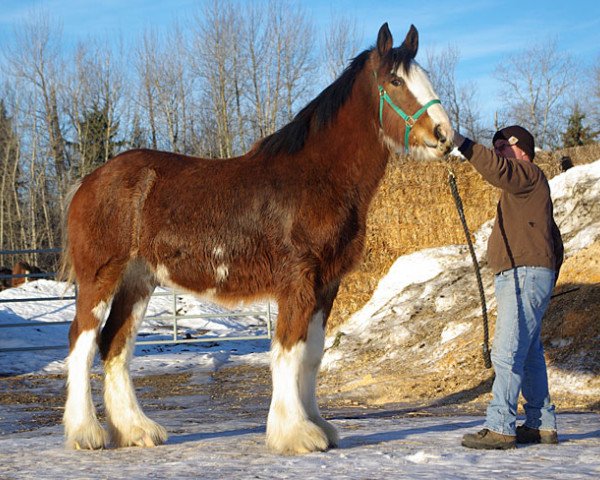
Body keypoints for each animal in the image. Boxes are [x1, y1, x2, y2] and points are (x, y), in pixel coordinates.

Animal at [61, 23, 452, 454]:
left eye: (424, 77)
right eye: (396, 81)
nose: (444, 135)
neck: (316, 178)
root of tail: (88, 182)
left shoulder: (326, 284)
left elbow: (312, 354)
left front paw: (318, 425)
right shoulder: (298, 281)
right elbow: (288, 350)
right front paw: (295, 433)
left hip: (138, 281)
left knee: (115, 344)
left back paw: (136, 429)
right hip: (100, 276)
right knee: (82, 342)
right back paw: (86, 432)